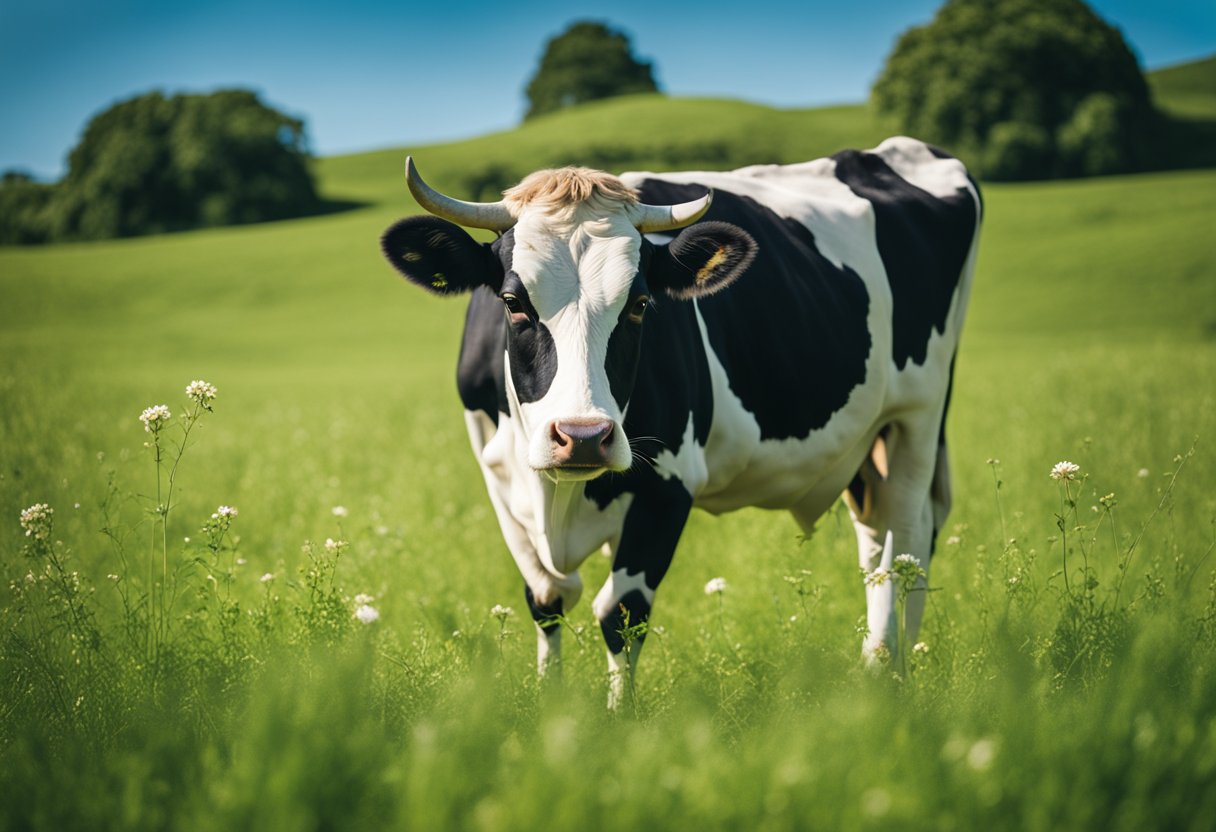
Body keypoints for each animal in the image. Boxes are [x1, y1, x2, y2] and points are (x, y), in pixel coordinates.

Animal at [379, 138, 977, 710]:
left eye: (641, 303)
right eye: (512, 300)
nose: (583, 437)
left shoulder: (668, 484)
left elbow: (622, 611)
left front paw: (619, 718)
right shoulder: (500, 478)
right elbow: (546, 599)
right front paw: (550, 702)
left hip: (918, 418)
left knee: (908, 541)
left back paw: (892, 670)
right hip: (866, 447)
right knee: (877, 545)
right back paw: (879, 668)